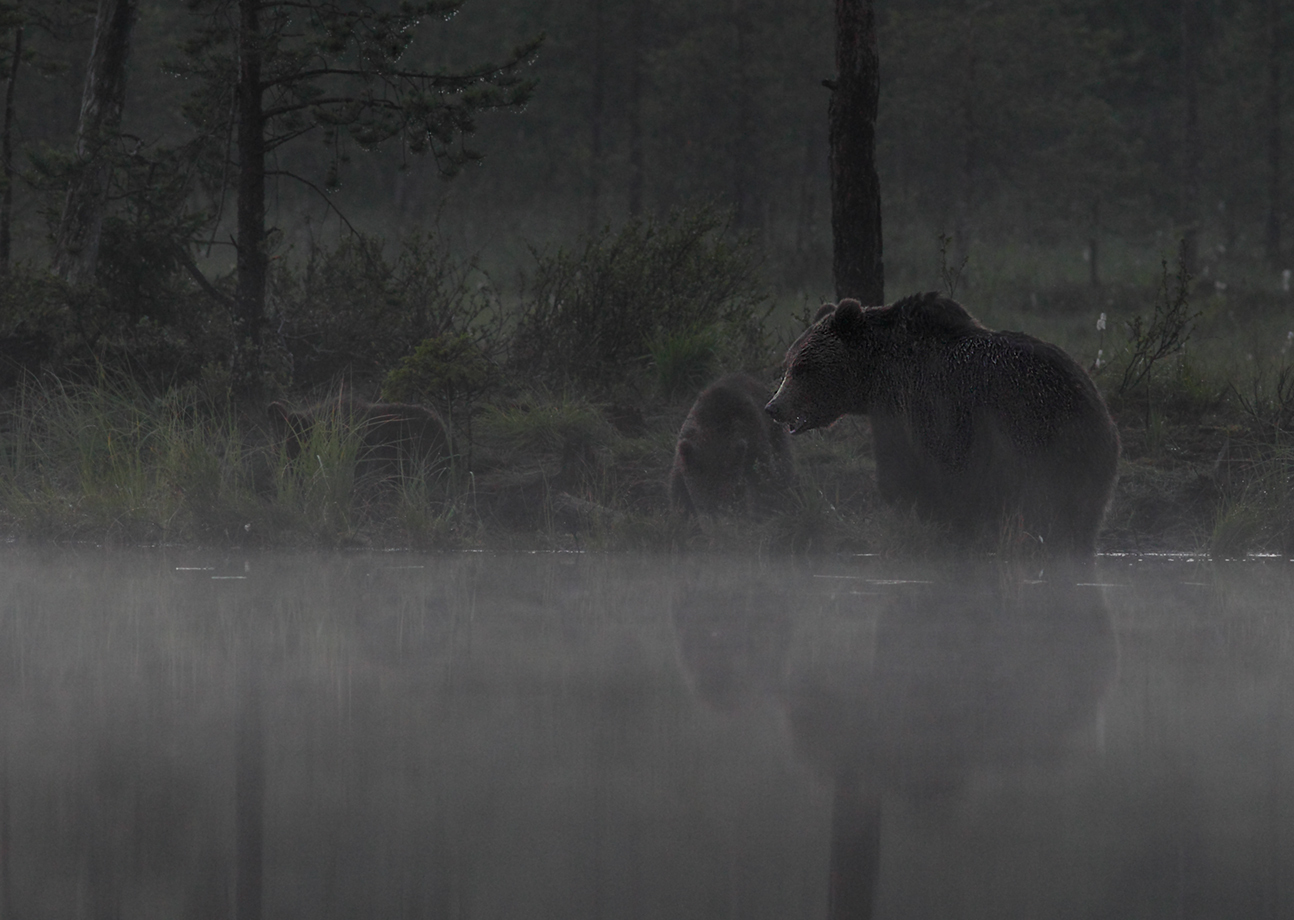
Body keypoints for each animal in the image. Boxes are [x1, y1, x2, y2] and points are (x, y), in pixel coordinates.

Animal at [760, 295, 1118, 553]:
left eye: (803, 367)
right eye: (789, 362)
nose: (773, 407)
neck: (877, 378)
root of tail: (1095, 403)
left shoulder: (925, 410)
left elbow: (926, 477)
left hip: (1040, 442)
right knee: (1081, 519)